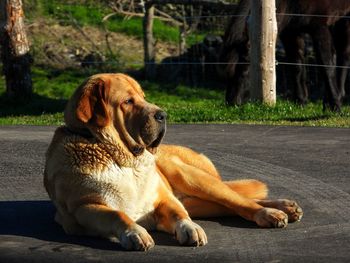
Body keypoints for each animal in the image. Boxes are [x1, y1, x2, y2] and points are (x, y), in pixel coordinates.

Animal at [43, 73, 302, 252]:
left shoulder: (163, 199)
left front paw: (191, 229)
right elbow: (117, 215)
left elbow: (179, 214)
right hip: (198, 200)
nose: (162, 114)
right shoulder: (83, 208)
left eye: (143, 97)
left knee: (240, 201)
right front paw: (135, 233)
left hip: (192, 178)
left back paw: (274, 212)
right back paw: (286, 208)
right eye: (128, 101)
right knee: (230, 204)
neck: (120, 158)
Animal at [220, 0, 350, 111]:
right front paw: (301, 102)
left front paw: (336, 106)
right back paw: (327, 101)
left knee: (343, 55)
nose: (231, 103)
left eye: (245, 71)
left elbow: (327, 67)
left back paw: (339, 96)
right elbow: (297, 67)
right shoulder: (291, 32)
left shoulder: (319, 27)